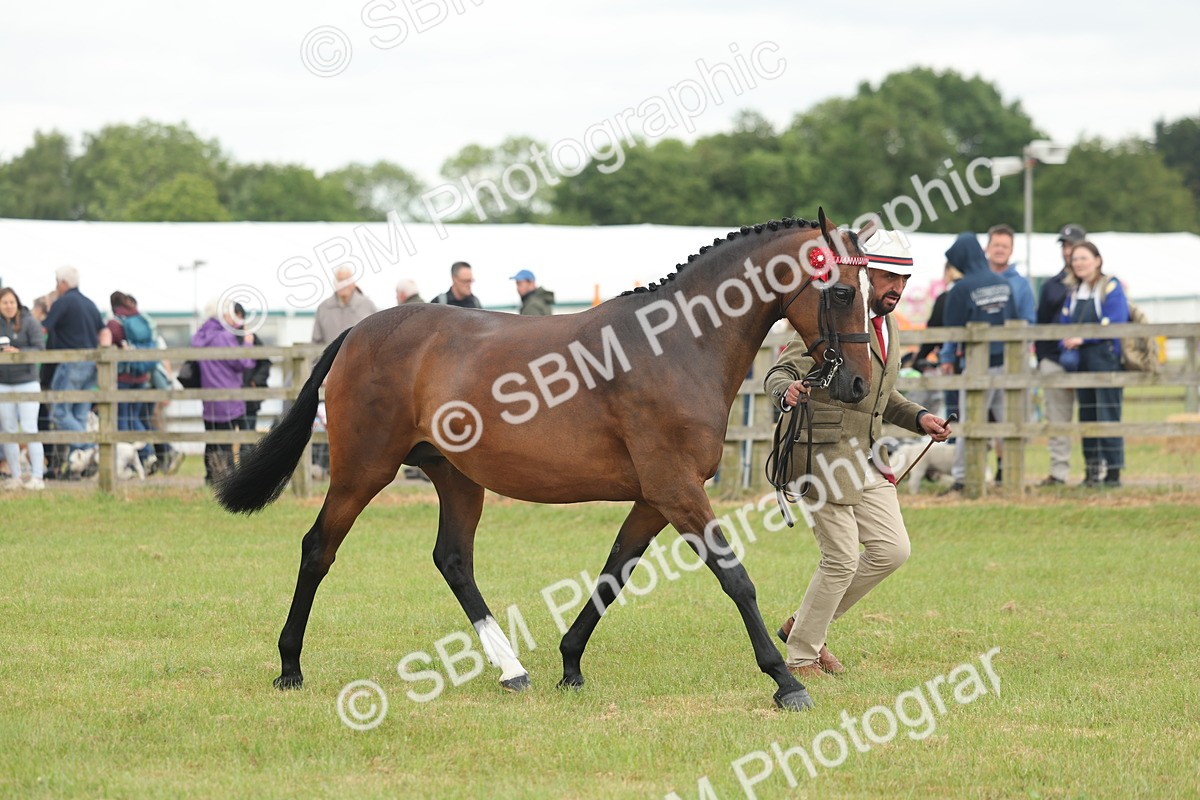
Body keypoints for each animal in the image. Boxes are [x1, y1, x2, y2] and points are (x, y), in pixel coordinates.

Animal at [215, 210, 874, 711]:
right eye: (843, 291)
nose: (859, 385)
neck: (676, 346)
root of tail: (360, 332)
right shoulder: (677, 489)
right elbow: (734, 577)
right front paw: (784, 681)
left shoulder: (653, 497)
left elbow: (614, 572)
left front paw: (570, 664)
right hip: (362, 471)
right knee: (318, 549)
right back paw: (290, 667)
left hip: (456, 477)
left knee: (453, 560)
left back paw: (511, 669)